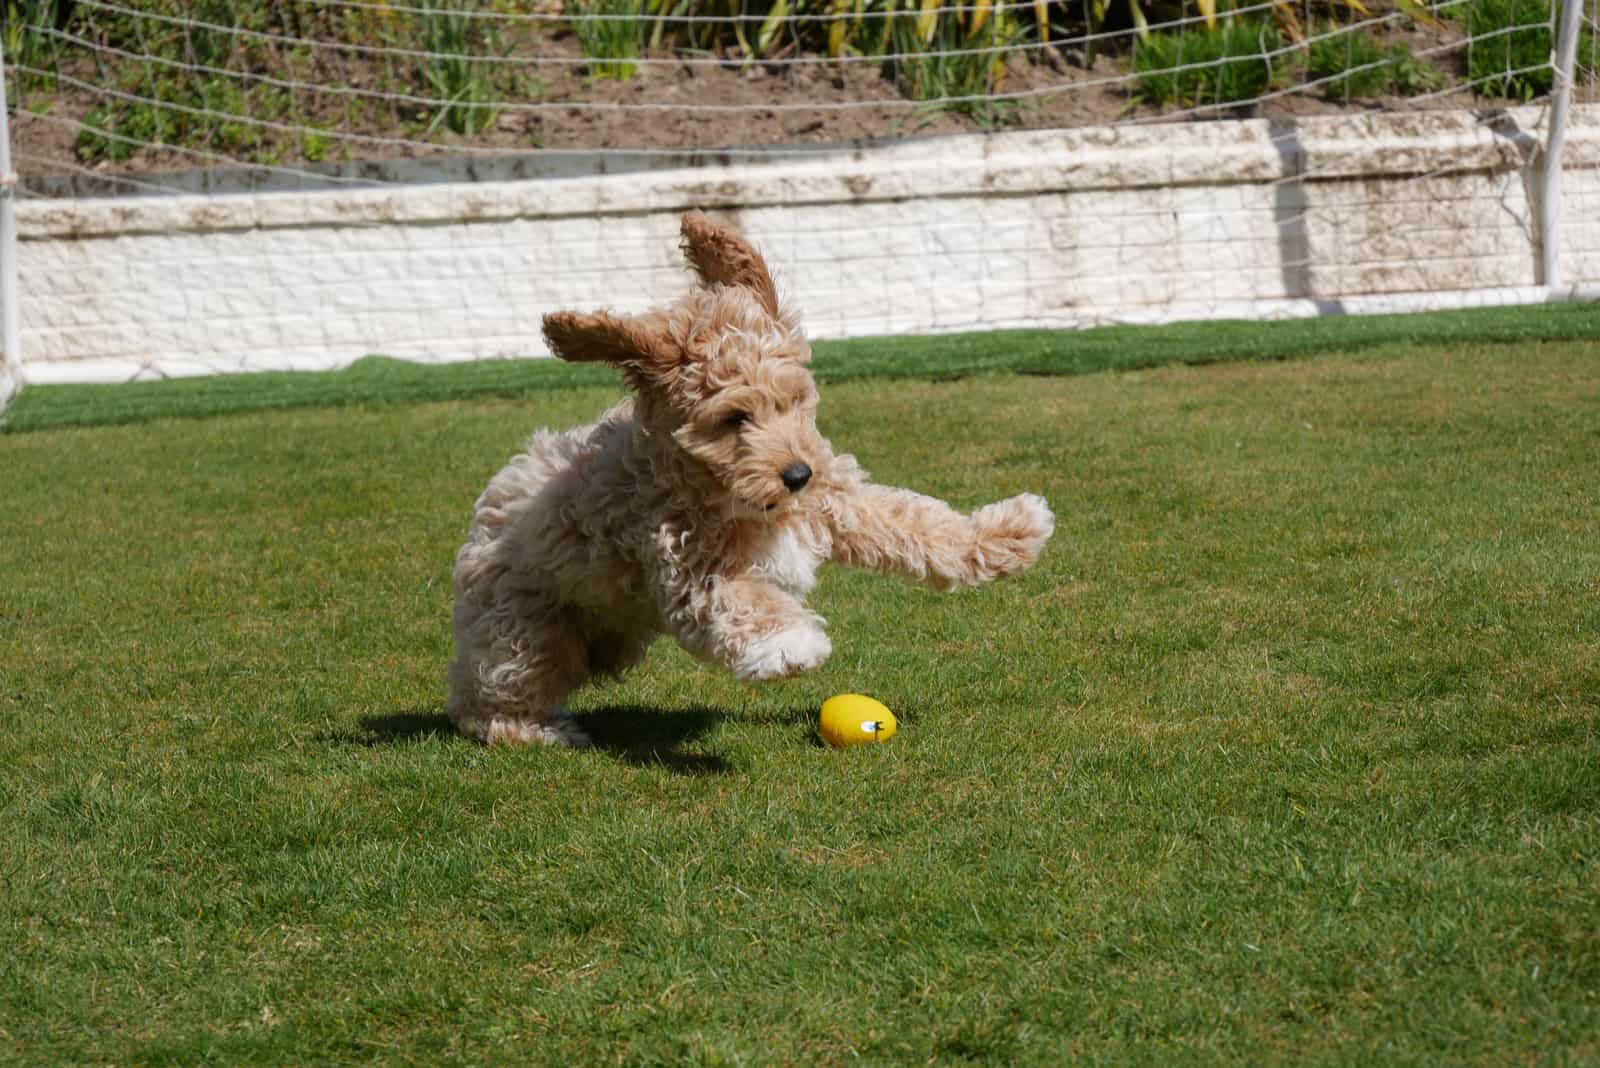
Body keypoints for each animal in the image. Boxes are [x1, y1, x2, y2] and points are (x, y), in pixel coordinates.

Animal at [448, 207, 1049, 741]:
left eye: (795, 400)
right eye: (736, 418)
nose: (799, 474)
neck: (729, 494)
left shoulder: (835, 500)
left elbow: (918, 523)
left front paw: (1011, 532)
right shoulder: (683, 563)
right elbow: (739, 603)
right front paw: (792, 644)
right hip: (527, 630)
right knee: (493, 693)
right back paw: (532, 729)